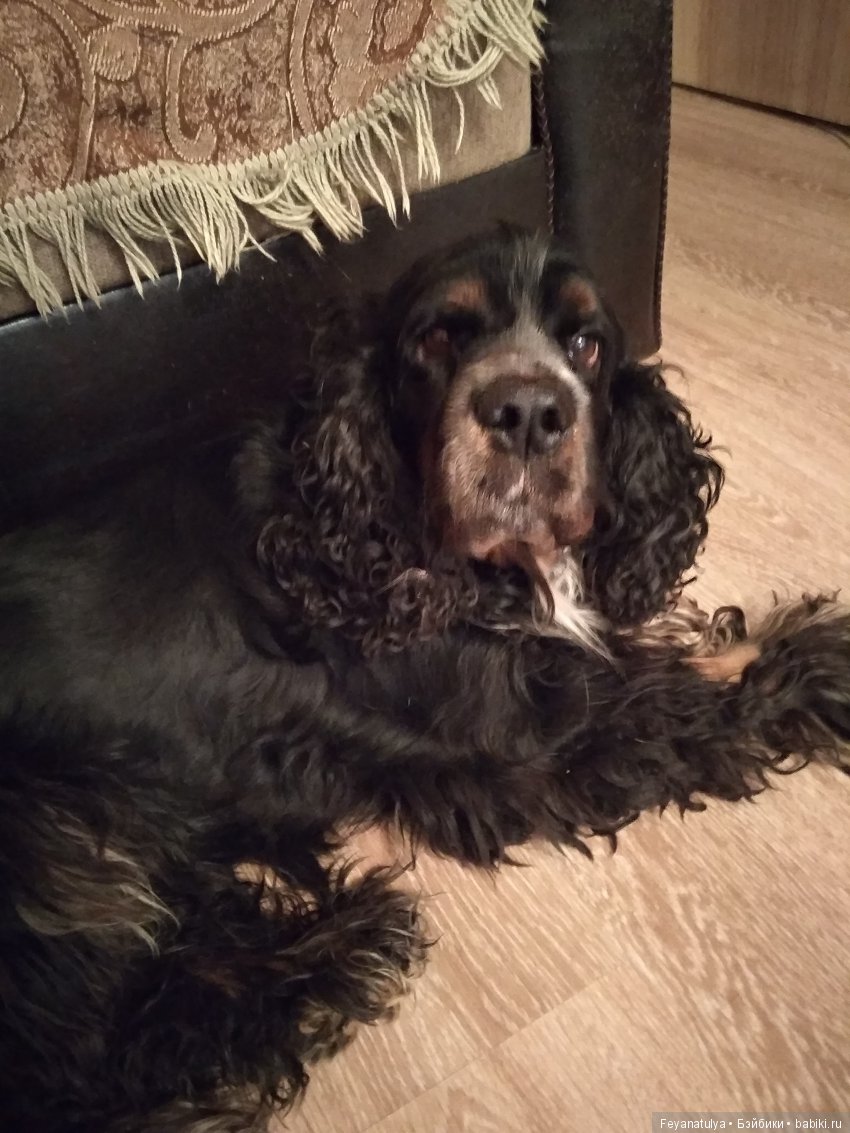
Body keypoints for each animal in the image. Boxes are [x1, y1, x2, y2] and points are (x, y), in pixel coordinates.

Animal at [1, 228, 848, 1133]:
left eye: (587, 343)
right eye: (439, 336)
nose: (529, 411)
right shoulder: (524, 740)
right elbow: (696, 696)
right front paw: (824, 660)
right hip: (61, 830)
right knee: (112, 1054)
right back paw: (349, 945)